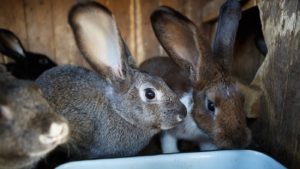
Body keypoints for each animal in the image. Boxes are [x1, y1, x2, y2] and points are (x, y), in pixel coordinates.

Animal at [139, 0, 252, 153]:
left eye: (242, 100)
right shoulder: (167, 132)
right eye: (211, 105)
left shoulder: (205, 142)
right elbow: (169, 146)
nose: (238, 141)